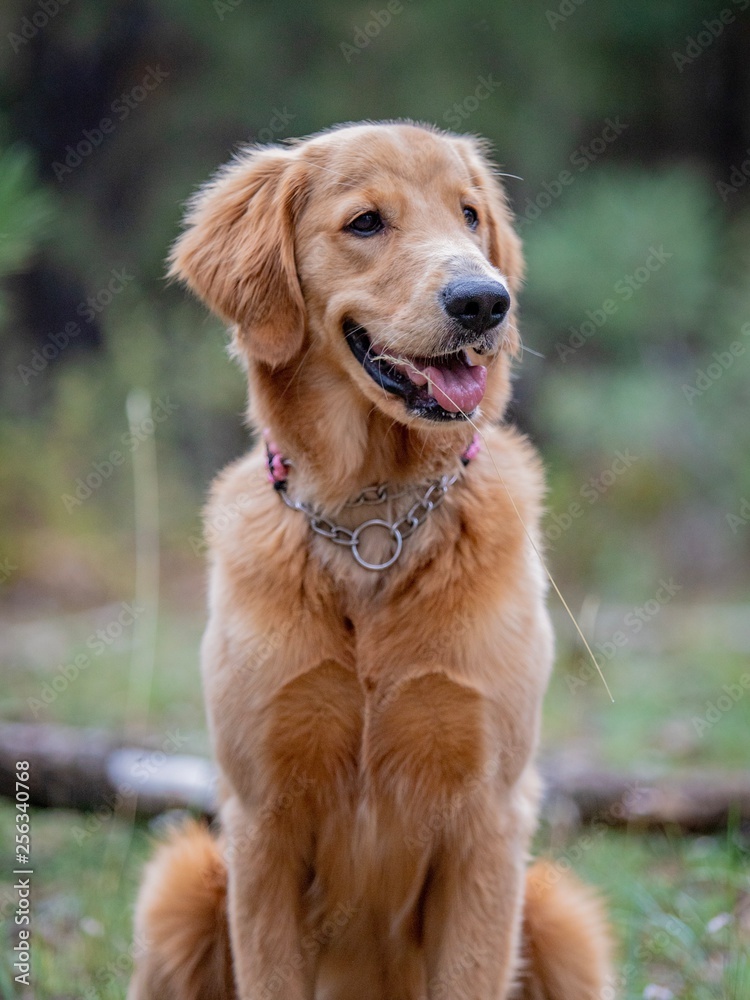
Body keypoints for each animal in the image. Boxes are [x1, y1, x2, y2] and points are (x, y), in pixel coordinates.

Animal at [129, 121, 612, 996]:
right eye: (365, 223)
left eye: (469, 215)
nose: (485, 300)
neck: (374, 515)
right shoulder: (262, 821)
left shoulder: (488, 817)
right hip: (178, 889)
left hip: (561, 919)